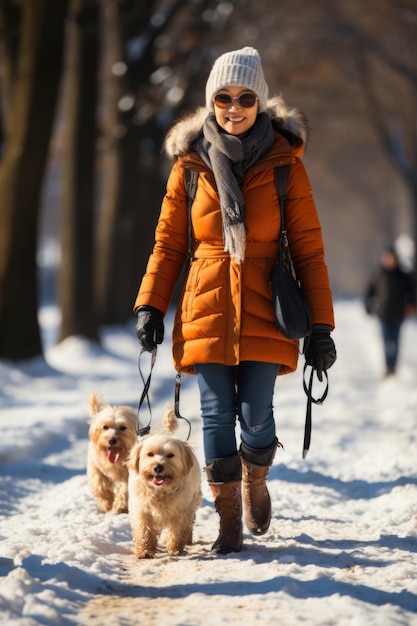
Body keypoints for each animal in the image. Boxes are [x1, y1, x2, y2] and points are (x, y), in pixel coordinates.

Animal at [128, 402, 203, 560]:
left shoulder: (182, 510)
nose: (158, 467)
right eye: (150, 454)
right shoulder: (141, 509)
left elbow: (178, 529)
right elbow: (143, 529)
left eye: (170, 455)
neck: (160, 491)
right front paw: (145, 550)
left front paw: (175, 548)